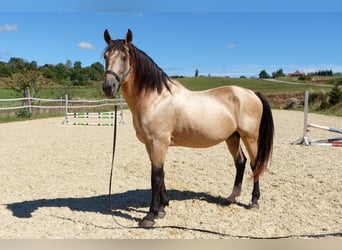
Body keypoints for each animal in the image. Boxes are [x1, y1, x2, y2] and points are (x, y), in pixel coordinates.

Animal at [103, 28, 274, 228]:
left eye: (123, 57)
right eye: (105, 56)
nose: (108, 87)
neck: (156, 99)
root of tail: (252, 93)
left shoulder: (159, 142)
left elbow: (156, 176)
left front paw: (150, 216)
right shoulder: (150, 144)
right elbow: (161, 173)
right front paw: (162, 207)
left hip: (250, 137)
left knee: (255, 164)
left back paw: (253, 201)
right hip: (232, 137)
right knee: (240, 162)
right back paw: (231, 198)